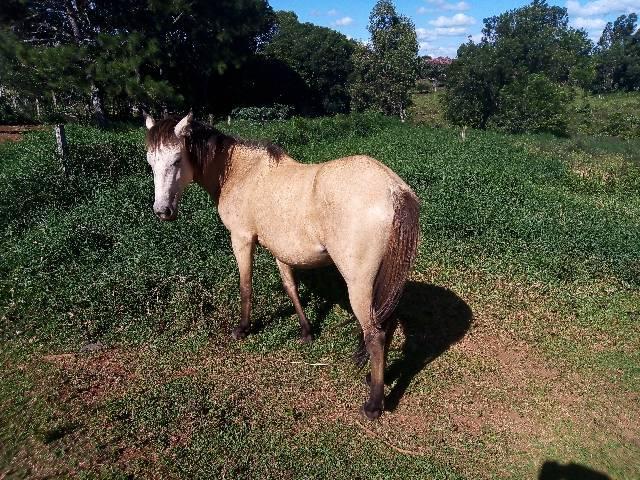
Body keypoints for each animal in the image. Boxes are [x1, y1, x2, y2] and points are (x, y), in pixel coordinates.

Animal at [144, 113, 420, 420]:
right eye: (150, 162)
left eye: (177, 160)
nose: (162, 211)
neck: (240, 172)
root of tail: (395, 191)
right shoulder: (281, 250)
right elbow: (291, 287)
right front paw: (306, 332)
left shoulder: (241, 239)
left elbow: (246, 285)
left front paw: (243, 329)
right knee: (389, 322)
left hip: (359, 284)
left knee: (375, 335)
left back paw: (373, 404)